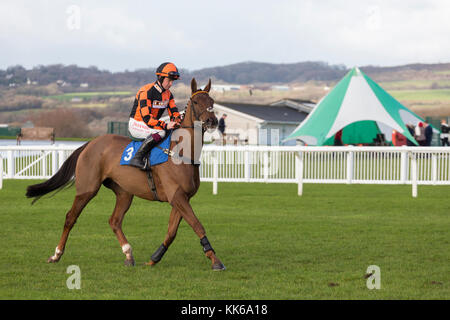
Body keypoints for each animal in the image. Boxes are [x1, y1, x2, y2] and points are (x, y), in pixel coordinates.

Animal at [25, 77, 225, 270]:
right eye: (196, 101)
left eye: (212, 101)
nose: (212, 121)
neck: (181, 152)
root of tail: (89, 144)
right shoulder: (177, 196)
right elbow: (197, 225)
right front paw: (215, 260)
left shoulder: (181, 198)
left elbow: (171, 231)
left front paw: (154, 258)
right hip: (87, 189)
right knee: (70, 218)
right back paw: (56, 254)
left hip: (124, 192)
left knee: (114, 220)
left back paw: (128, 254)